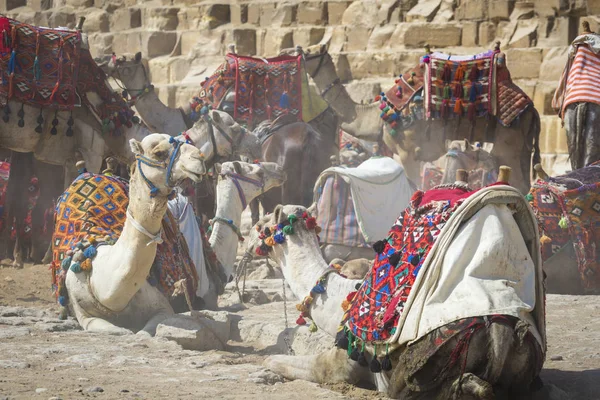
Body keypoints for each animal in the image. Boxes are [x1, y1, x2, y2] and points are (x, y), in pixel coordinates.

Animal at [61, 134, 205, 334]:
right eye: (159, 153)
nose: (199, 157)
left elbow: (145, 331)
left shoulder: (163, 307)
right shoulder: (84, 315)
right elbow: (118, 330)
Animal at [247, 168, 548, 396]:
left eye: (262, 226)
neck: (340, 300)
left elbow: (278, 359)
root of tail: (501, 330)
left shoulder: (342, 363)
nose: (248, 241)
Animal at [292, 43, 540, 194]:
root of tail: (531, 108)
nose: (295, 48)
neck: (377, 115)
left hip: (508, 142)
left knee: (518, 181)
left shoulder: (407, 151)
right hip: (522, 147)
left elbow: (414, 185)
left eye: (310, 52)